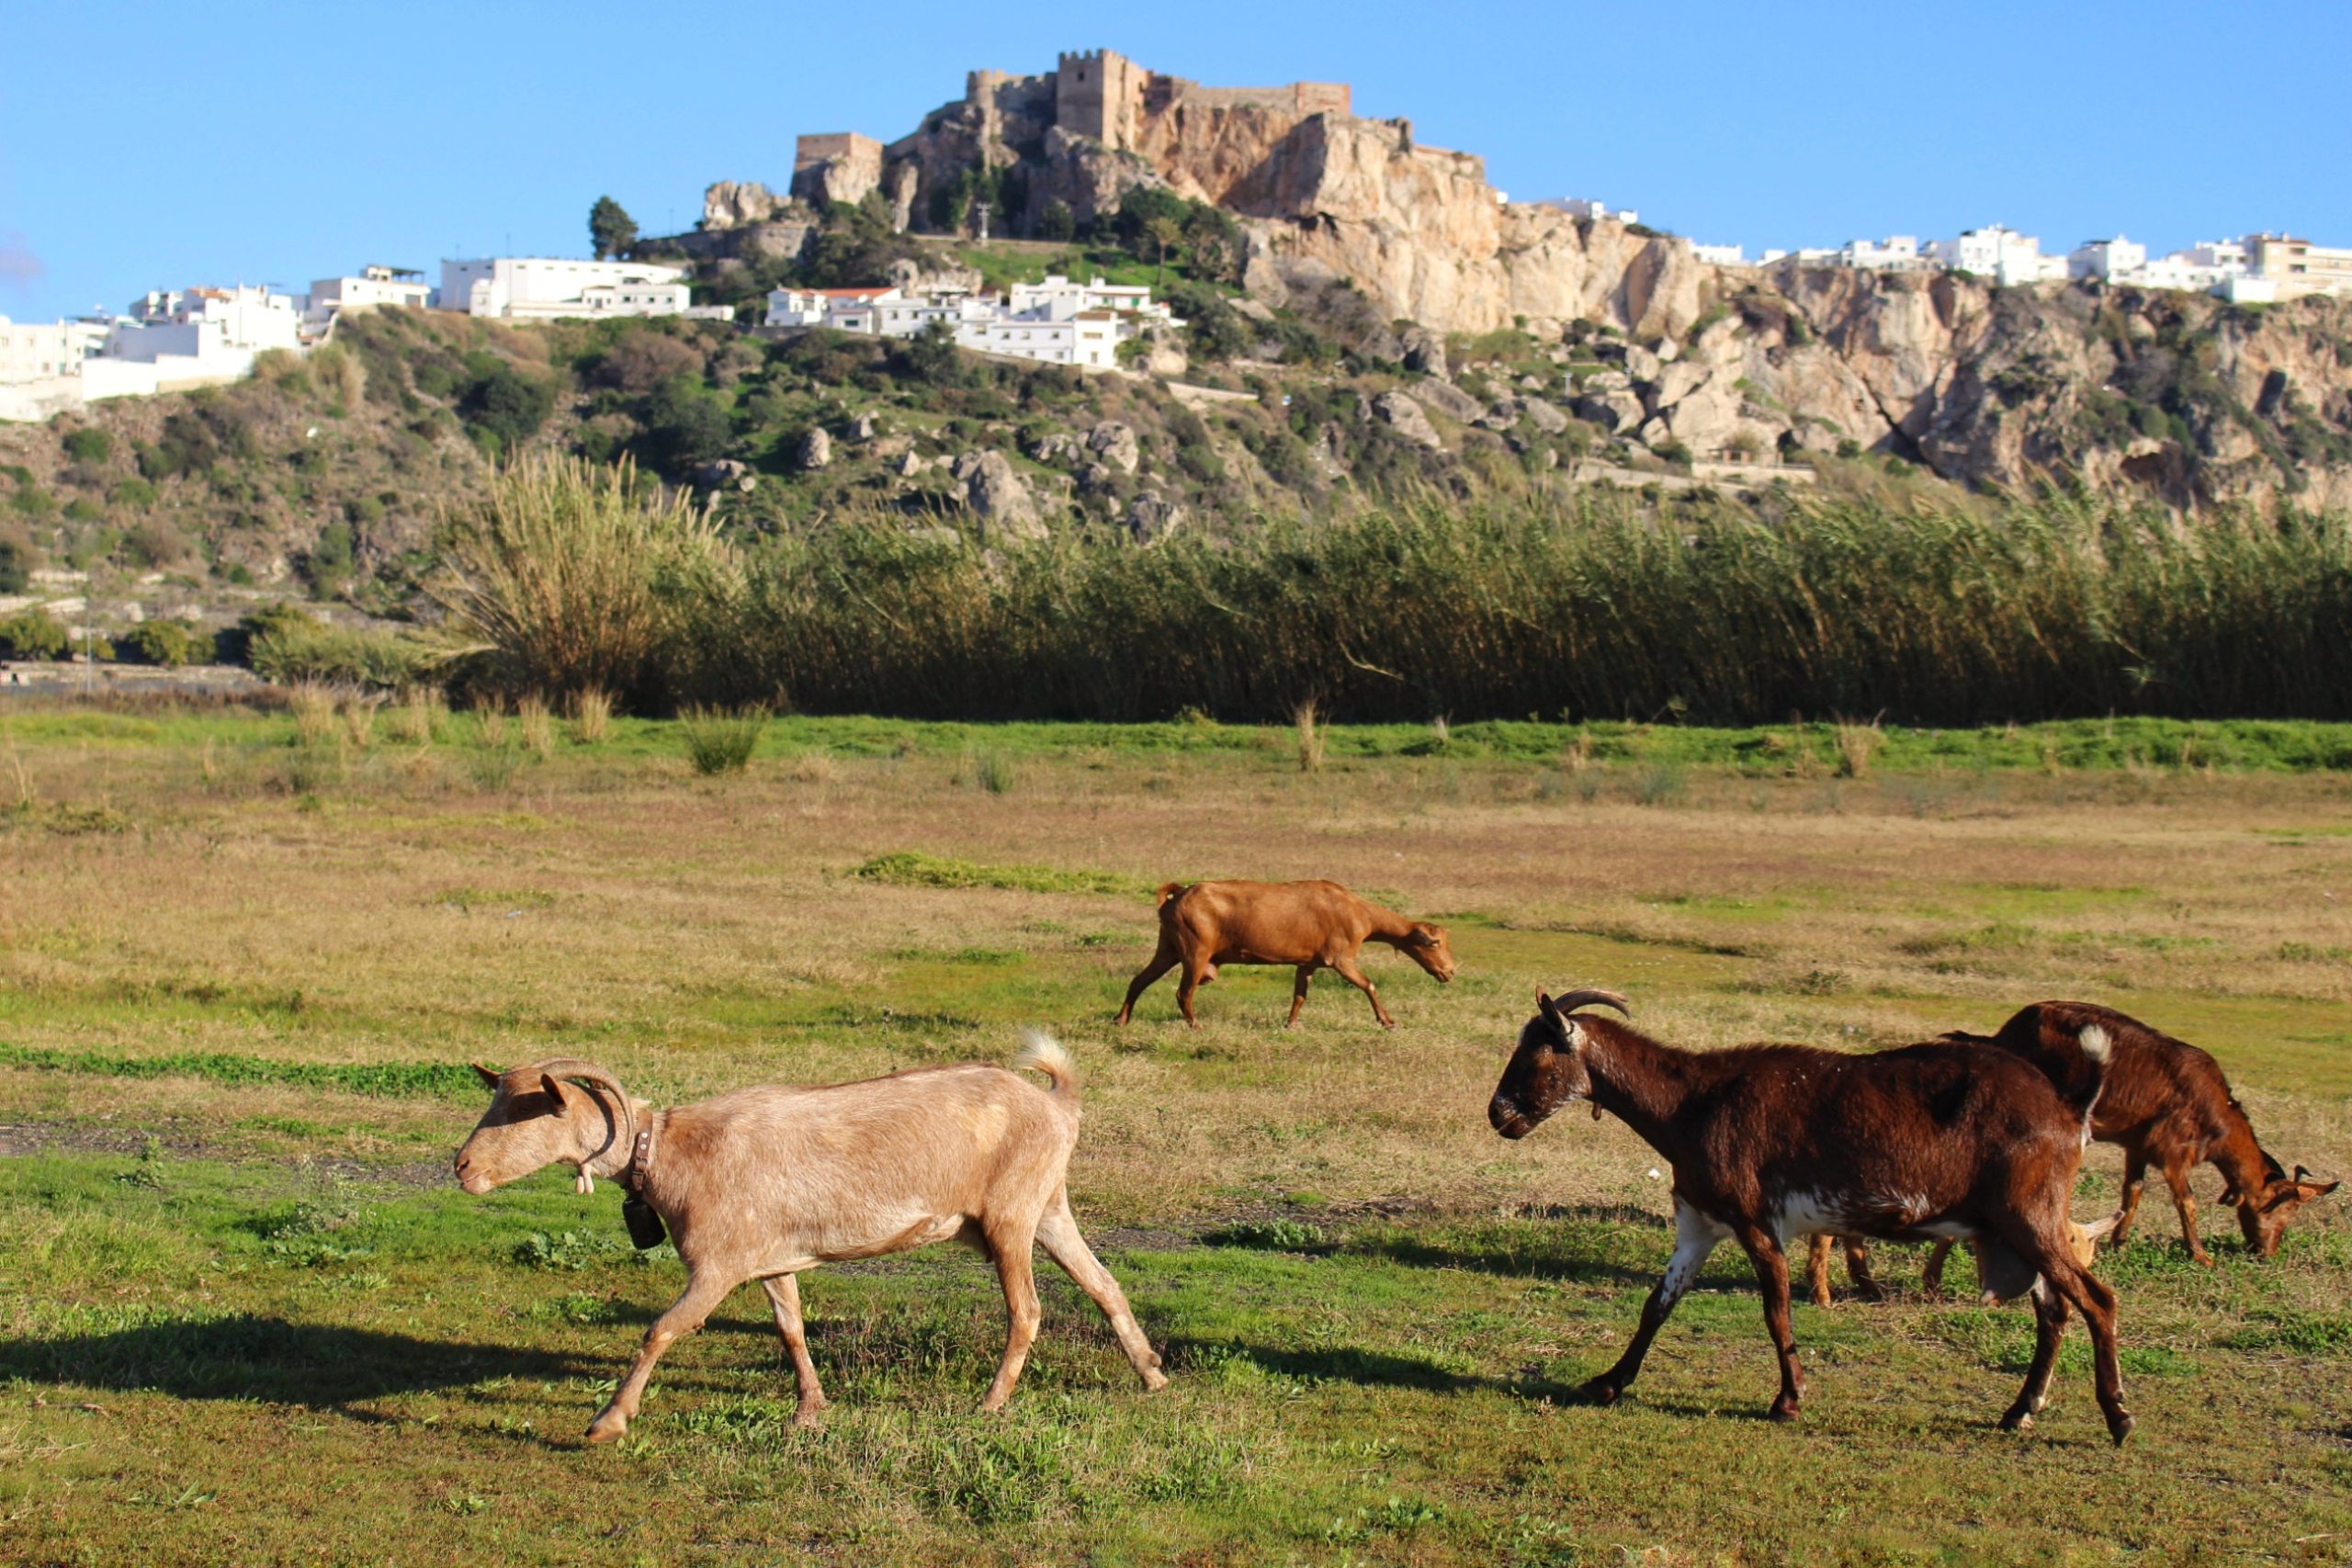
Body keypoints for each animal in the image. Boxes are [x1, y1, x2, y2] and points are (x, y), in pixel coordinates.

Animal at [451, 1043, 1166, 1448]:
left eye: (525, 1110)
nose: (461, 1166)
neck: (674, 1152)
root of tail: (1059, 1106)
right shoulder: (770, 1256)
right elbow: (790, 1326)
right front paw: (810, 1409)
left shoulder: (718, 1263)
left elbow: (663, 1329)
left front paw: (607, 1422)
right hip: (1048, 1206)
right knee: (1103, 1283)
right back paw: (1153, 1372)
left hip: (1009, 1216)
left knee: (1028, 1311)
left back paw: (990, 1403)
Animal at [1114, 884, 1448, 1029]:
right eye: (1434, 943)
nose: (1450, 971)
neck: (1358, 912)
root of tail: (1179, 894)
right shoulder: (1341, 959)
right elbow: (1368, 985)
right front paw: (1387, 1021)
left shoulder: (1308, 963)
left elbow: (1299, 995)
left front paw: (1289, 1024)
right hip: (1195, 952)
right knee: (1183, 992)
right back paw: (1195, 1025)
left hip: (1168, 948)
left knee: (1139, 981)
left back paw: (1121, 1019)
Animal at [1496, 991, 2144, 1448]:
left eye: (1536, 1056)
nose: (1497, 1113)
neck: (1692, 1103)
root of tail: (2069, 1109)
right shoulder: (1700, 1223)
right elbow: (1658, 1304)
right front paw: (1610, 1381)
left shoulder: (1757, 1223)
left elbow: (1776, 1310)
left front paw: (1789, 1400)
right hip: (2017, 1234)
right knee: (2055, 1312)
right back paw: (2019, 1411)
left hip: (2029, 1218)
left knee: (2097, 1300)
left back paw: (2117, 1417)